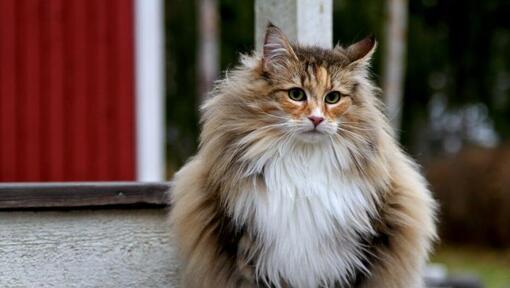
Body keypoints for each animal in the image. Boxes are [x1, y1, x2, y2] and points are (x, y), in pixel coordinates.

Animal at [169, 24, 436, 288]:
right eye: (296, 95)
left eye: (332, 98)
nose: (316, 119)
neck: (304, 164)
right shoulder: (247, 253)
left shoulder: (357, 256)